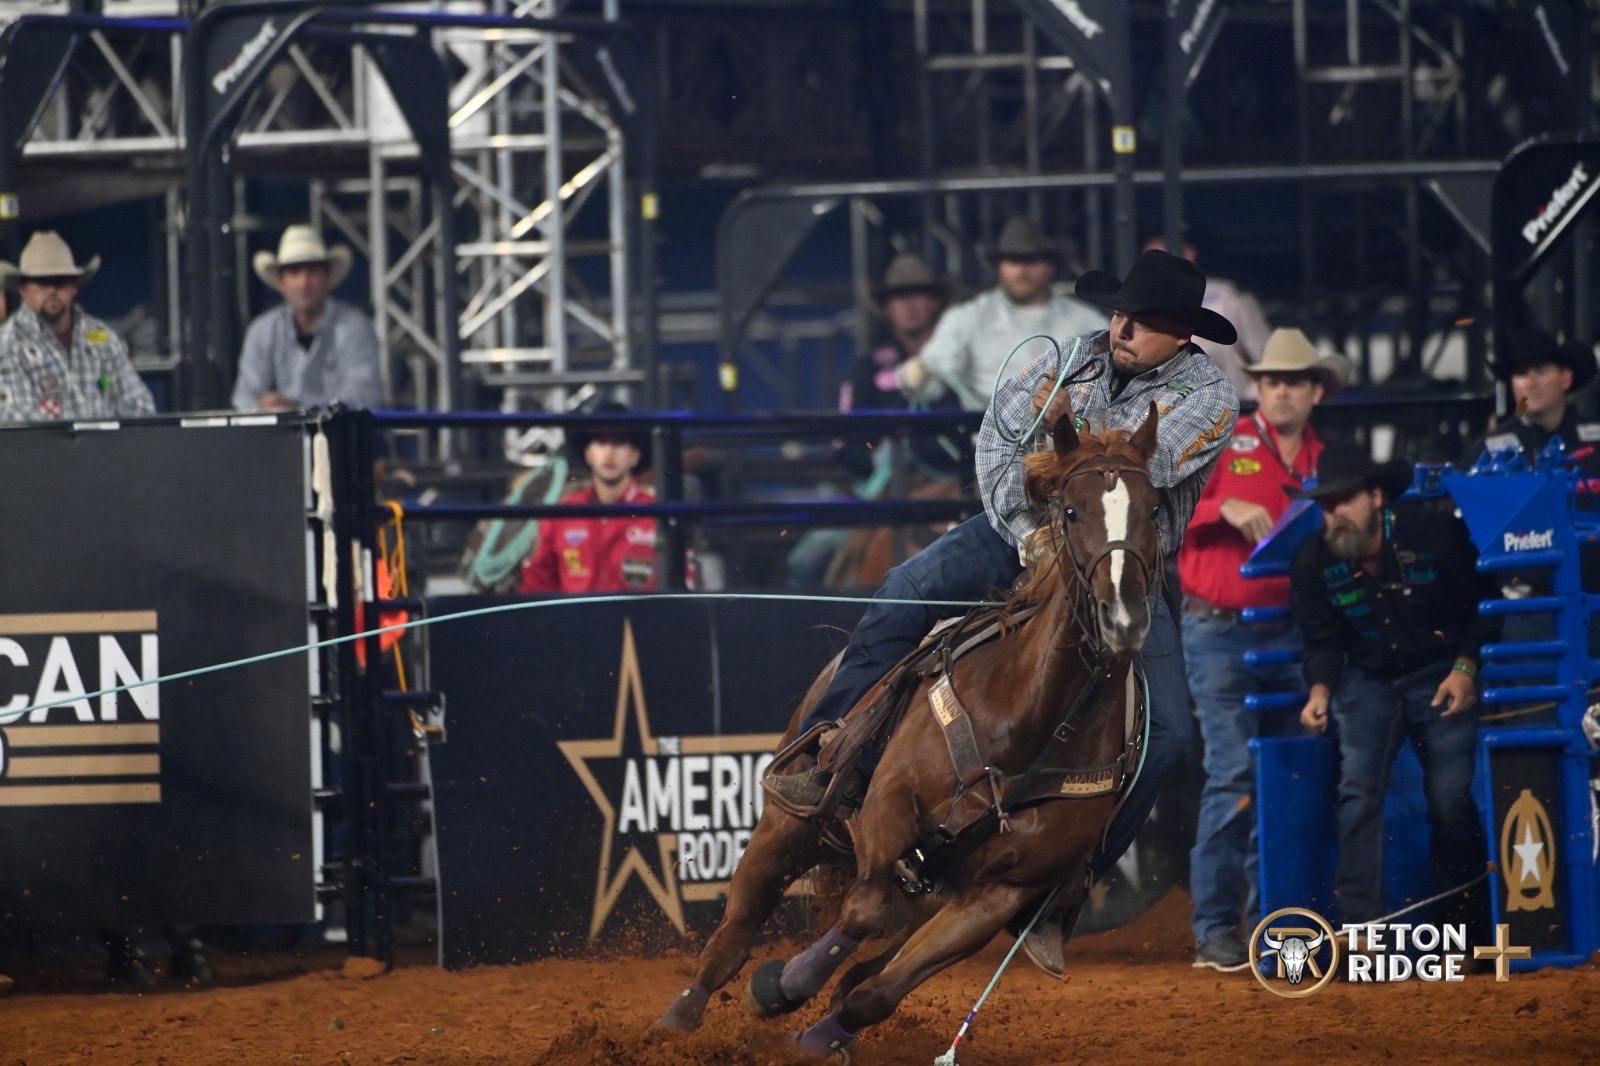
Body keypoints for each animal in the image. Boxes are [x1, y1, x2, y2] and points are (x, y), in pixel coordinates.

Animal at [649, 408, 1164, 1056]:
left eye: (1153, 510)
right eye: (1071, 512)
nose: (1122, 617)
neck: (1027, 724)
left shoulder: (1000, 895)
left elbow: (877, 992)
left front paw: (813, 1034)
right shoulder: (889, 805)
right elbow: (863, 913)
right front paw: (781, 986)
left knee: (870, 965)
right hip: (789, 826)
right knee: (734, 933)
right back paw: (675, 1024)